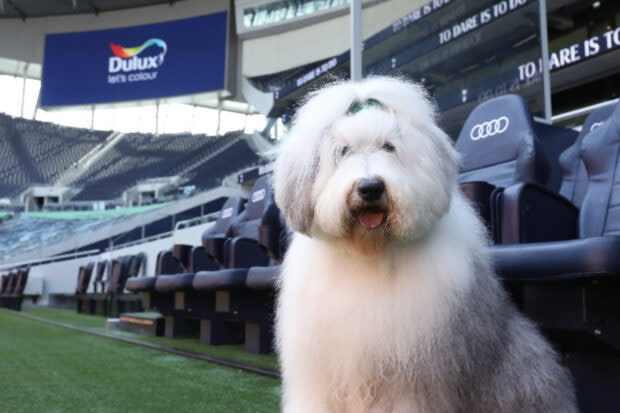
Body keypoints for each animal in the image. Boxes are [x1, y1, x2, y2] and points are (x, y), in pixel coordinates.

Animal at [274, 77, 580, 412]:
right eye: (342, 150)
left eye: (389, 146)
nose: (370, 187)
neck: (370, 252)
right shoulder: (319, 372)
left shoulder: (415, 375)